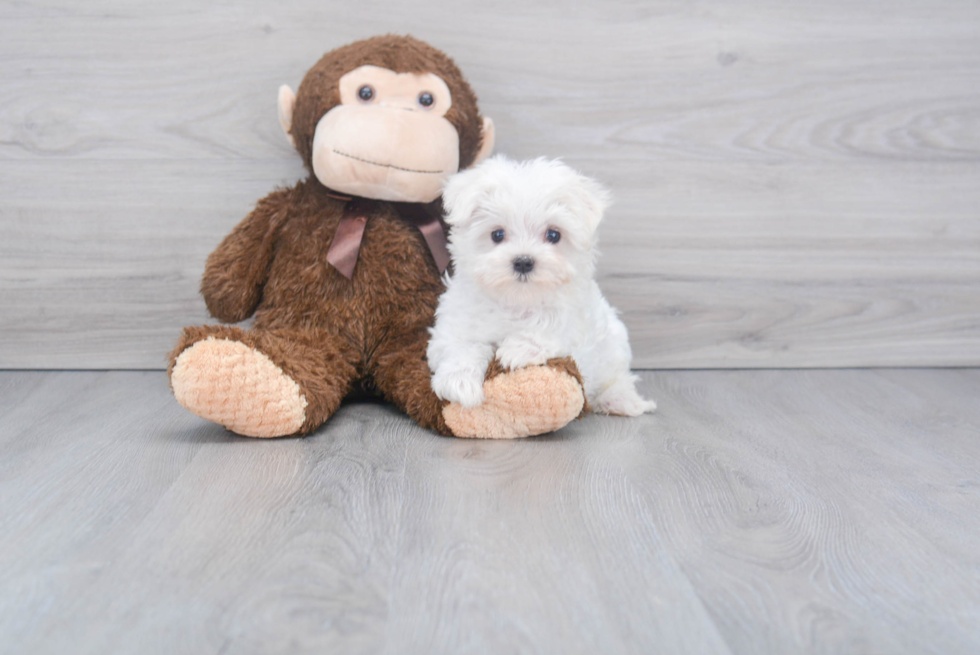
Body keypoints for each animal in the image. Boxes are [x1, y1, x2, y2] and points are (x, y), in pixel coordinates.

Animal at [424, 156, 656, 418]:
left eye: (553, 235)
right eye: (497, 234)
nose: (523, 262)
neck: (518, 300)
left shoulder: (575, 320)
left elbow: (552, 324)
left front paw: (517, 349)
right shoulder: (455, 322)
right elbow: (461, 345)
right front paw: (459, 382)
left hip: (615, 344)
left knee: (616, 377)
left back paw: (620, 400)